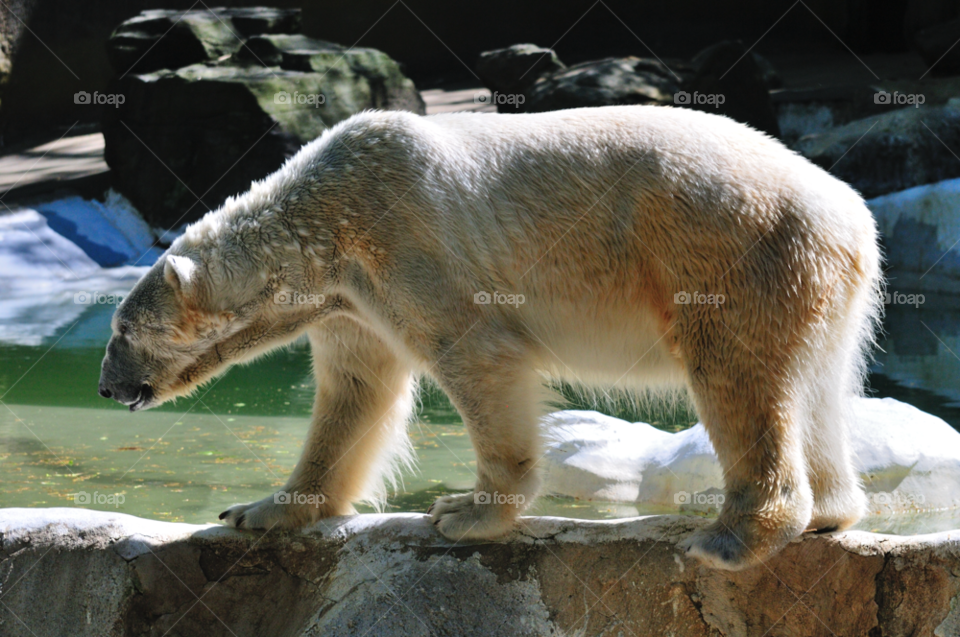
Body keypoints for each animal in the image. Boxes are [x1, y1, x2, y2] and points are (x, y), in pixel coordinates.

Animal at [98, 105, 882, 570]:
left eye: (121, 328)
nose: (106, 386)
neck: (327, 220)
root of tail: (852, 216)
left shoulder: (407, 240)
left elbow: (477, 356)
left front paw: (464, 512)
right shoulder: (350, 302)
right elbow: (356, 392)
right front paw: (261, 510)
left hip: (728, 254)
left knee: (736, 378)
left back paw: (728, 537)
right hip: (817, 290)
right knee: (816, 389)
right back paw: (830, 510)